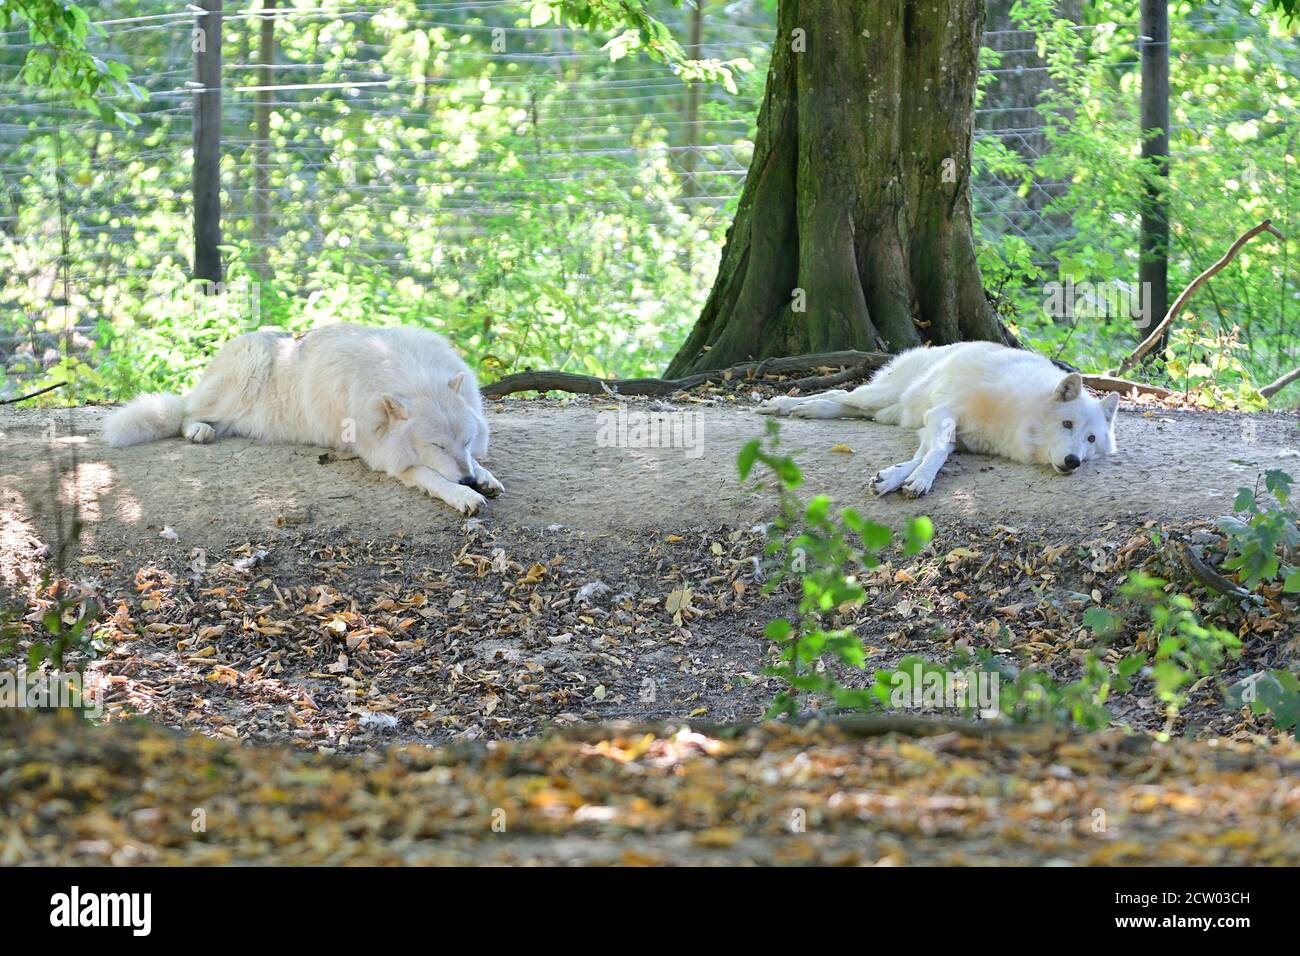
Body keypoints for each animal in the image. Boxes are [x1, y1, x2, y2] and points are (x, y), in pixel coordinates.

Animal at [101, 323, 501, 515]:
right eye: (436, 445)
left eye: (466, 442)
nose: (467, 479)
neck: (409, 374)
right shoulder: (384, 457)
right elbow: (433, 477)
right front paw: (463, 494)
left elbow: (475, 466)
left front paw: (482, 478)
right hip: (243, 375)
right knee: (185, 413)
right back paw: (198, 430)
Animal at [759, 340, 1123, 496]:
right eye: (1067, 424)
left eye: (1091, 439)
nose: (1074, 461)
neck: (1021, 410)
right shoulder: (943, 414)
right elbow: (935, 452)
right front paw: (919, 480)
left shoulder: (954, 435)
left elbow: (930, 453)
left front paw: (895, 478)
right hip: (882, 395)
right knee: (838, 394)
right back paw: (784, 406)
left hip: (888, 412)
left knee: (846, 405)